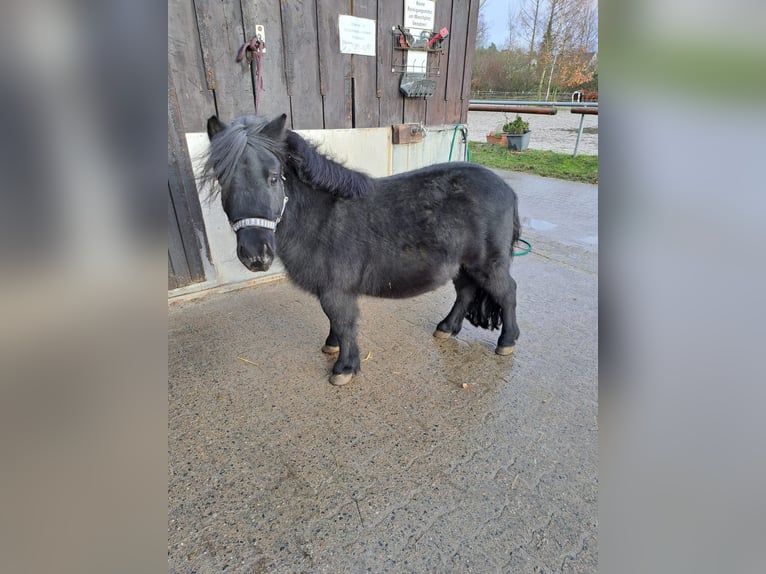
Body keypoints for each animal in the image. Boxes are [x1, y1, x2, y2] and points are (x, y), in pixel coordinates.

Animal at [207, 113, 524, 388]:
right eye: (222, 180)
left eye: (274, 177)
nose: (255, 254)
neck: (320, 218)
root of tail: (507, 190)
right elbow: (334, 322)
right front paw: (332, 346)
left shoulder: (336, 290)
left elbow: (343, 322)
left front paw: (344, 368)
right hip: (463, 264)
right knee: (466, 292)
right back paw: (446, 328)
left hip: (488, 264)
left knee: (506, 292)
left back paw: (506, 342)